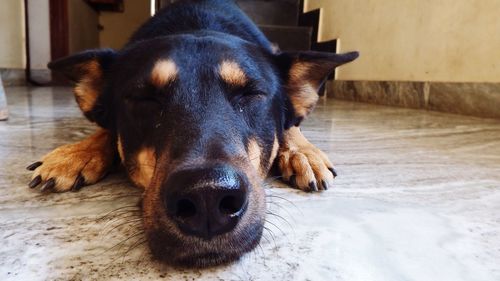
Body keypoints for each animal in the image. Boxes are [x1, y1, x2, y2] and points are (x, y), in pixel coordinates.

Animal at [25, 0, 358, 266]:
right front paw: (75, 154)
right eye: (144, 98)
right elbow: (106, 130)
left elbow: (290, 125)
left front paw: (302, 152)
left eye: (252, 94)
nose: (207, 196)